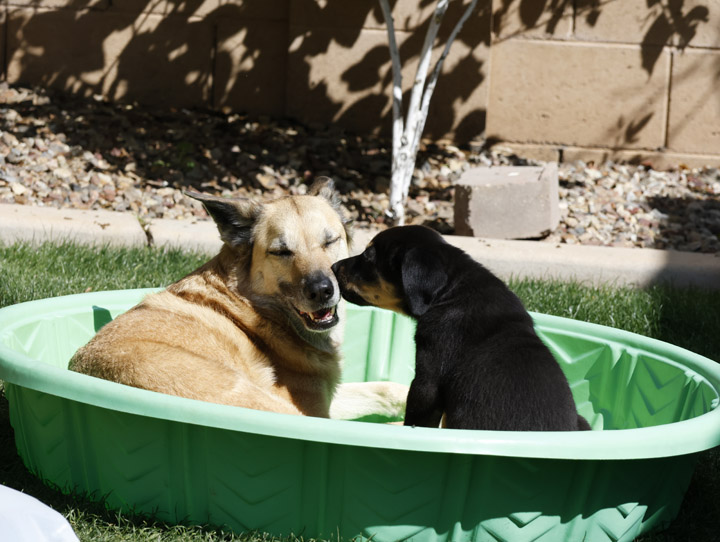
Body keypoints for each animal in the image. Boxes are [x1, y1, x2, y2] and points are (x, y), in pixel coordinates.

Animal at [70, 178, 408, 420]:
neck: (255, 308)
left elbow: (388, 390)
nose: (322, 290)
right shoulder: (312, 410)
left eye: (330, 241)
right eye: (281, 251)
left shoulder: (328, 399)